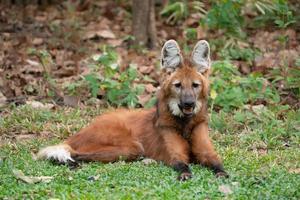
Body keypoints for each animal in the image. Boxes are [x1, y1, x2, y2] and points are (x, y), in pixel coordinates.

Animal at [38, 39, 229, 180]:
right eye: (178, 85)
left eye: (195, 85)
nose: (189, 103)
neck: (185, 124)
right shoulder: (174, 154)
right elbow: (181, 163)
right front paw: (185, 174)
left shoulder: (206, 150)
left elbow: (216, 162)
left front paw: (222, 173)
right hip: (132, 147)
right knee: (75, 154)